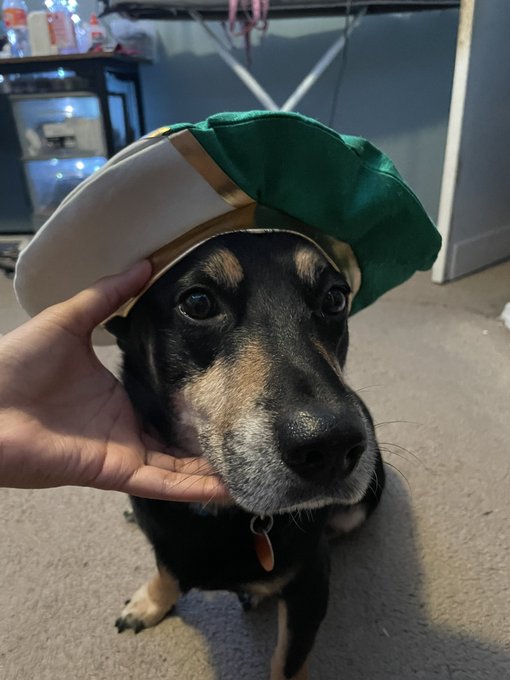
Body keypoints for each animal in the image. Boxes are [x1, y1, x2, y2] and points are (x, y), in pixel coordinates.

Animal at [107, 231, 385, 680]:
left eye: (334, 299)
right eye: (198, 303)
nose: (333, 446)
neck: (219, 512)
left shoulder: (309, 587)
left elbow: (288, 662)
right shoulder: (164, 538)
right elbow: (167, 567)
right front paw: (152, 600)